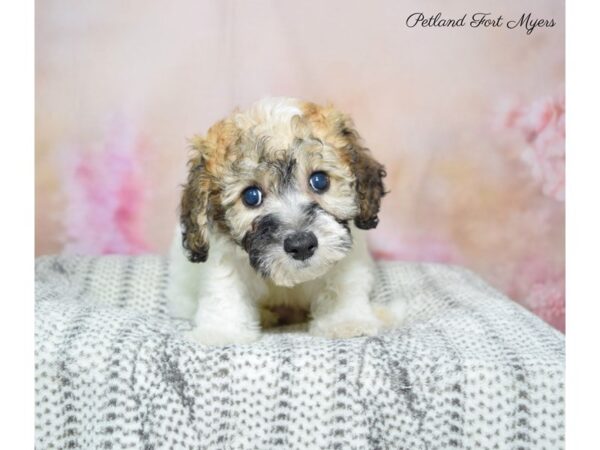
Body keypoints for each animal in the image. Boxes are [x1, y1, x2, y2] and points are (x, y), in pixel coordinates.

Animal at [166, 97, 406, 344]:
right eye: (251, 196)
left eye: (319, 181)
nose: (301, 245)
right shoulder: (224, 257)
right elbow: (225, 289)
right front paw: (223, 332)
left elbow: (340, 283)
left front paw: (345, 321)